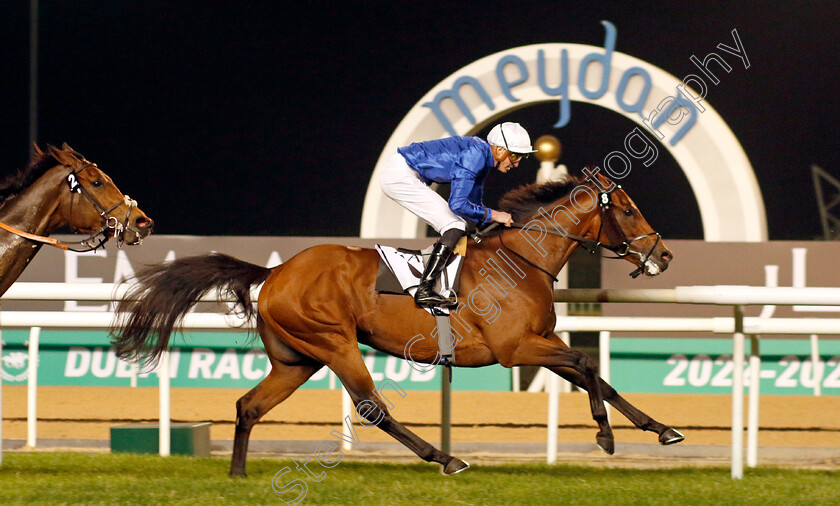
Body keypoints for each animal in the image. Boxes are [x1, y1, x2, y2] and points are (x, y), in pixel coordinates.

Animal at [111, 172, 684, 476]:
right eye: (628, 211)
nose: (665, 255)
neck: (523, 259)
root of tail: (275, 272)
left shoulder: (539, 340)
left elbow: (598, 376)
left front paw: (661, 429)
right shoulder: (516, 348)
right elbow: (587, 363)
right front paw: (606, 436)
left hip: (297, 360)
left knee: (248, 406)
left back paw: (237, 473)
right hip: (335, 343)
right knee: (371, 407)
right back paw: (445, 458)